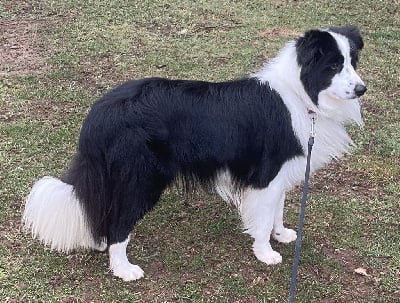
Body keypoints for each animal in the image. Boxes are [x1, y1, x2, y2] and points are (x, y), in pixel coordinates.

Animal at [21, 25, 366, 282]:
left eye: (353, 62)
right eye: (333, 66)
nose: (362, 89)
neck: (301, 93)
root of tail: (100, 113)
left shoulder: (280, 173)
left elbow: (277, 211)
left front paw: (281, 235)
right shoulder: (266, 174)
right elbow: (263, 217)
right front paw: (265, 253)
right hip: (142, 178)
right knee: (119, 223)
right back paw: (124, 270)